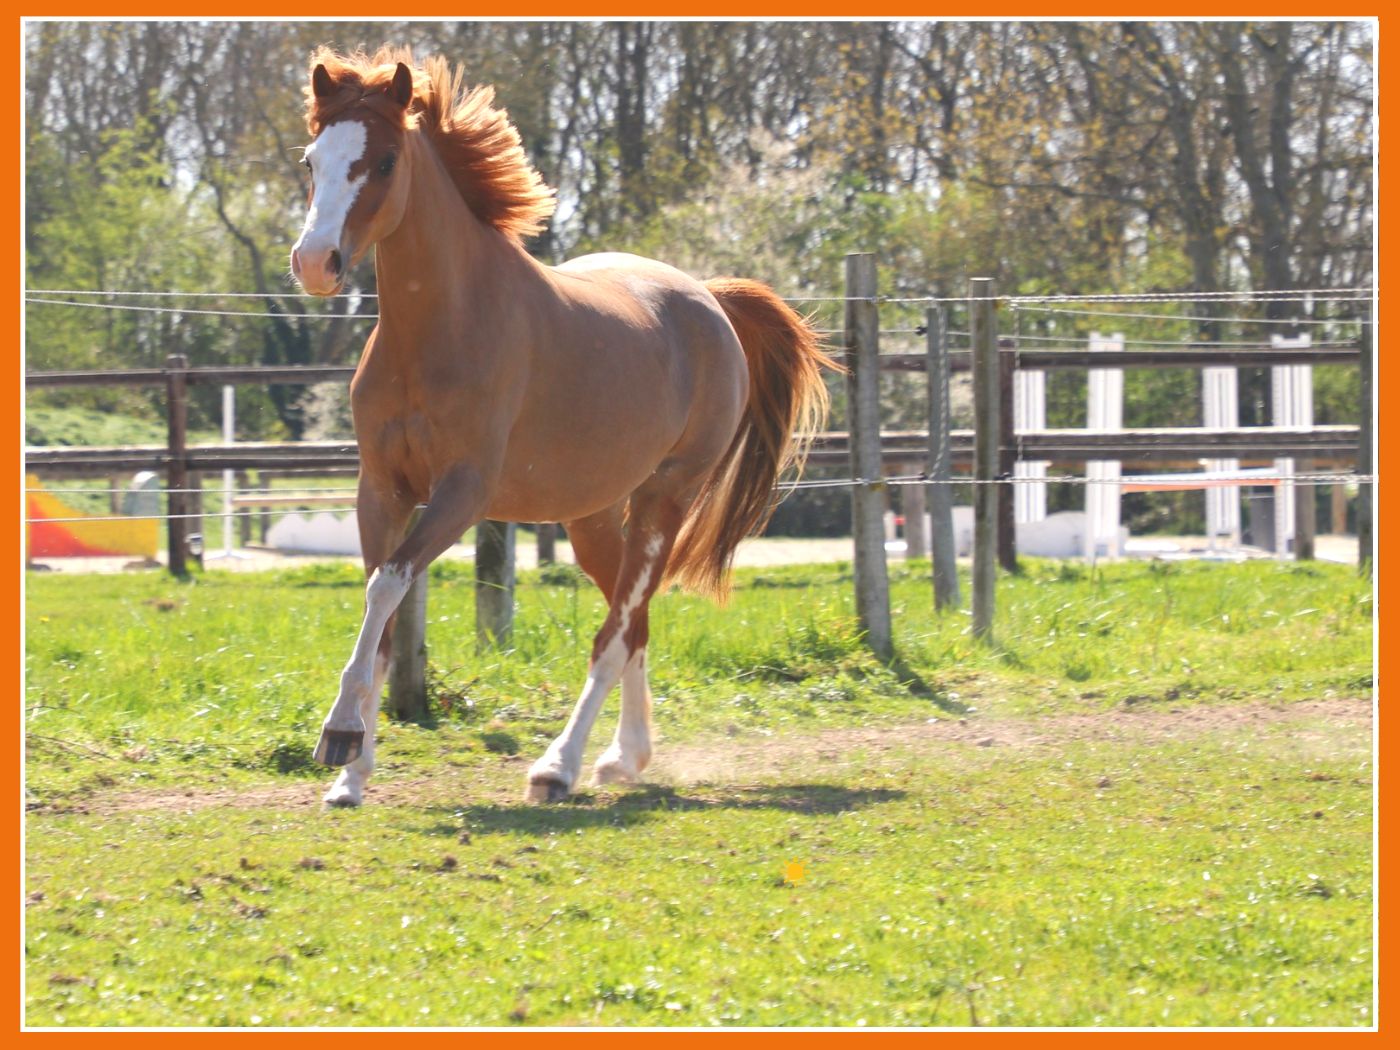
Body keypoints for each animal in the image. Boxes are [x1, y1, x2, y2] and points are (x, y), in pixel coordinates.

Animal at [289, 48, 835, 806]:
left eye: (387, 161)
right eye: (312, 159)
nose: (316, 263)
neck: (437, 333)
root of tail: (709, 300)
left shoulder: (463, 493)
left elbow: (386, 587)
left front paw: (339, 735)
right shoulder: (382, 489)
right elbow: (383, 611)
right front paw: (351, 773)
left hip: (664, 499)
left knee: (615, 633)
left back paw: (560, 766)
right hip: (593, 516)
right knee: (637, 624)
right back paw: (624, 758)